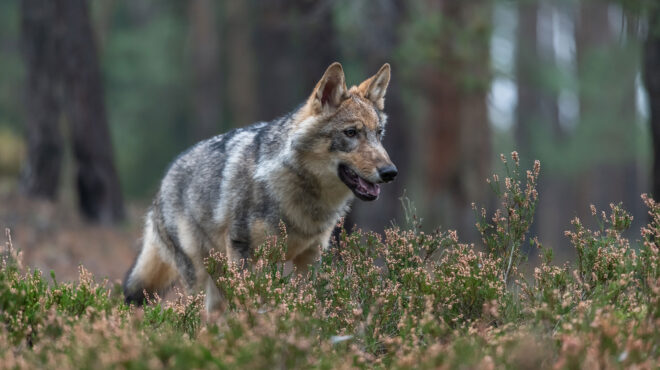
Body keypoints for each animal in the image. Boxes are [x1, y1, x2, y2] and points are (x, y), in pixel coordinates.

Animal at [123, 62, 398, 312]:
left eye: (379, 133)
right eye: (351, 133)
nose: (390, 172)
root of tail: (163, 182)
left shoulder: (311, 257)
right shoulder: (243, 251)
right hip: (202, 277)